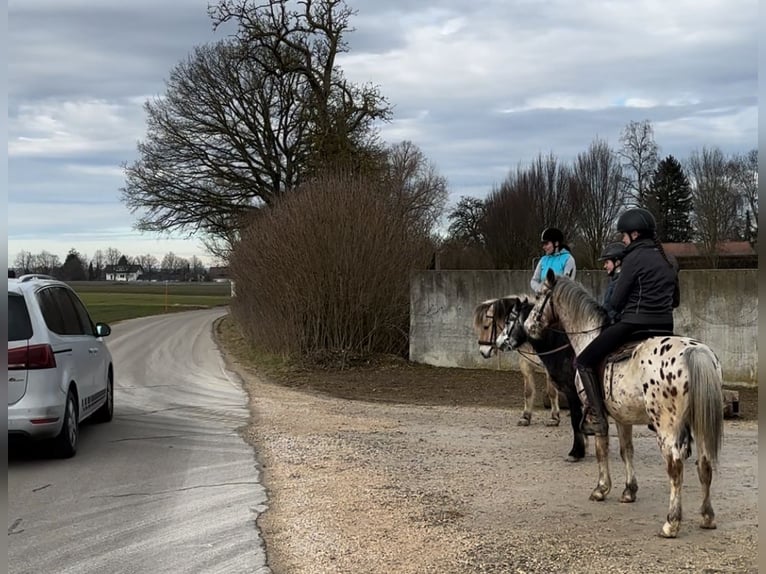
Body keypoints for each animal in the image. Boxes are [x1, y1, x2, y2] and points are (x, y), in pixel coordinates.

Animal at [474, 296, 588, 464]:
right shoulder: (526, 365)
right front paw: (525, 416)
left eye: (486, 326)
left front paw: (554, 418)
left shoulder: (550, 370)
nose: (483, 352)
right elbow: (528, 391)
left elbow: (552, 392)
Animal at [516, 270, 728, 540]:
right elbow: (626, 451)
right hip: (699, 425)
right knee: (705, 464)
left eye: (541, 295)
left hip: (667, 428)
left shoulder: (596, 415)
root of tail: (696, 352)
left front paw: (601, 488)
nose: (529, 327)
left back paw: (671, 523)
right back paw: (707, 516)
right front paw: (629, 491)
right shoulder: (622, 417)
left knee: (675, 466)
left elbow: (601, 450)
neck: (588, 336)